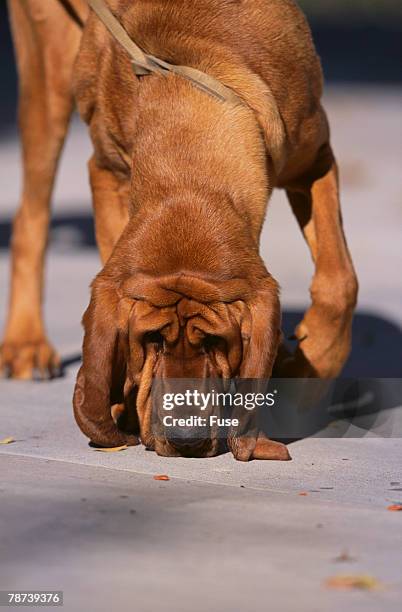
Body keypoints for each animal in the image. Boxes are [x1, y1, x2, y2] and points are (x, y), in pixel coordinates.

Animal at [0, 1, 358, 460]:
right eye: (150, 340)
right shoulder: (106, 171)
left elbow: (339, 283)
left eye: (216, 342)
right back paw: (26, 344)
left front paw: (302, 381)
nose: (186, 439)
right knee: (31, 215)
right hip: (48, 75)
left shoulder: (314, 157)